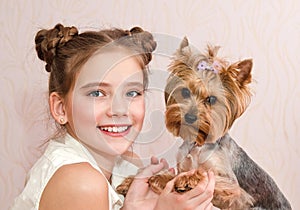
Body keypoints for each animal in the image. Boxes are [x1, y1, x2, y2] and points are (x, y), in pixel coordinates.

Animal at [116, 38, 292, 210]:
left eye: (211, 99)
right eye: (185, 92)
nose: (190, 117)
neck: (197, 143)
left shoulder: (236, 191)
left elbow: (207, 175)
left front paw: (187, 180)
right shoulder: (183, 165)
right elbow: (175, 174)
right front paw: (136, 180)